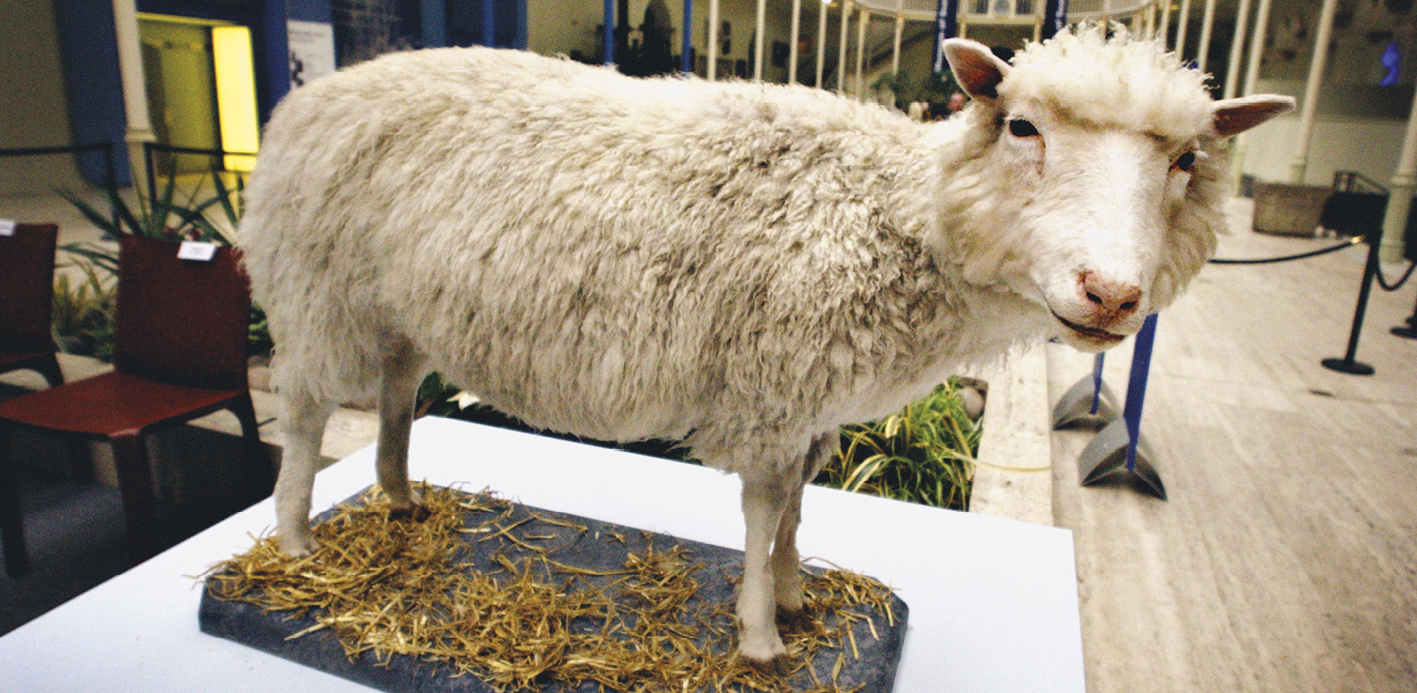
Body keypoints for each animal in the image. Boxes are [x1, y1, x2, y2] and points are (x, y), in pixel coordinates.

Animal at [240, 24, 1297, 666]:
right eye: (1022, 128)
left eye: (1187, 160)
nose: (1109, 295)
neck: (895, 216)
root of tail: (307, 99)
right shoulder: (769, 385)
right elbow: (758, 510)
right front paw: (758, 635)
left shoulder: (812, 401)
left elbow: (795, 504)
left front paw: (792, 594)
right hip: (316, 292)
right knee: (305, 415)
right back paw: (294, 543)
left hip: (395, 307)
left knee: (394, 392)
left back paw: (400, 498)